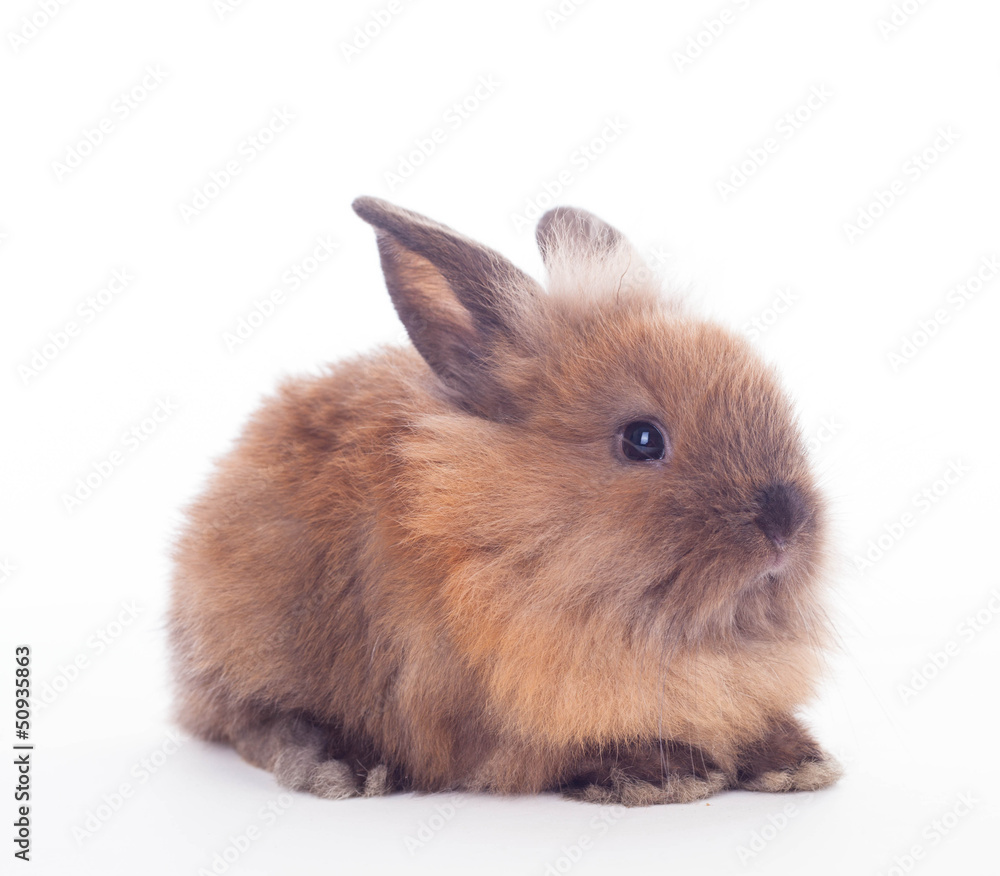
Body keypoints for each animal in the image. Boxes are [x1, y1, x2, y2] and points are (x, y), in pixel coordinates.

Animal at [168, 198, 840, 808]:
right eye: (642, 439)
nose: (785, 522)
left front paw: (795, 761)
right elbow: (561, 749)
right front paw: (663, 774)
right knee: (250, 720)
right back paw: (341, 765)